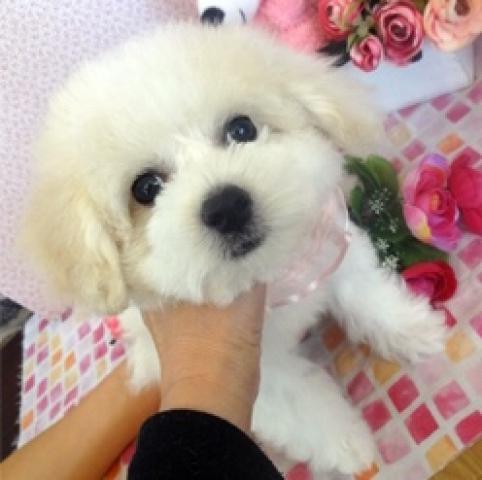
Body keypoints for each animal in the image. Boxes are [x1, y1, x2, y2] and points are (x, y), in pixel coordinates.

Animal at [22, 23, 447, 475]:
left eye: (241, 129)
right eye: (146, 188)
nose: (226, 207)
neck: (271, 277)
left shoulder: (330, 242)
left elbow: (364, 292)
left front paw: (411, 328)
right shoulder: (260, 373)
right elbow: (299, 403)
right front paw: (347, 443)